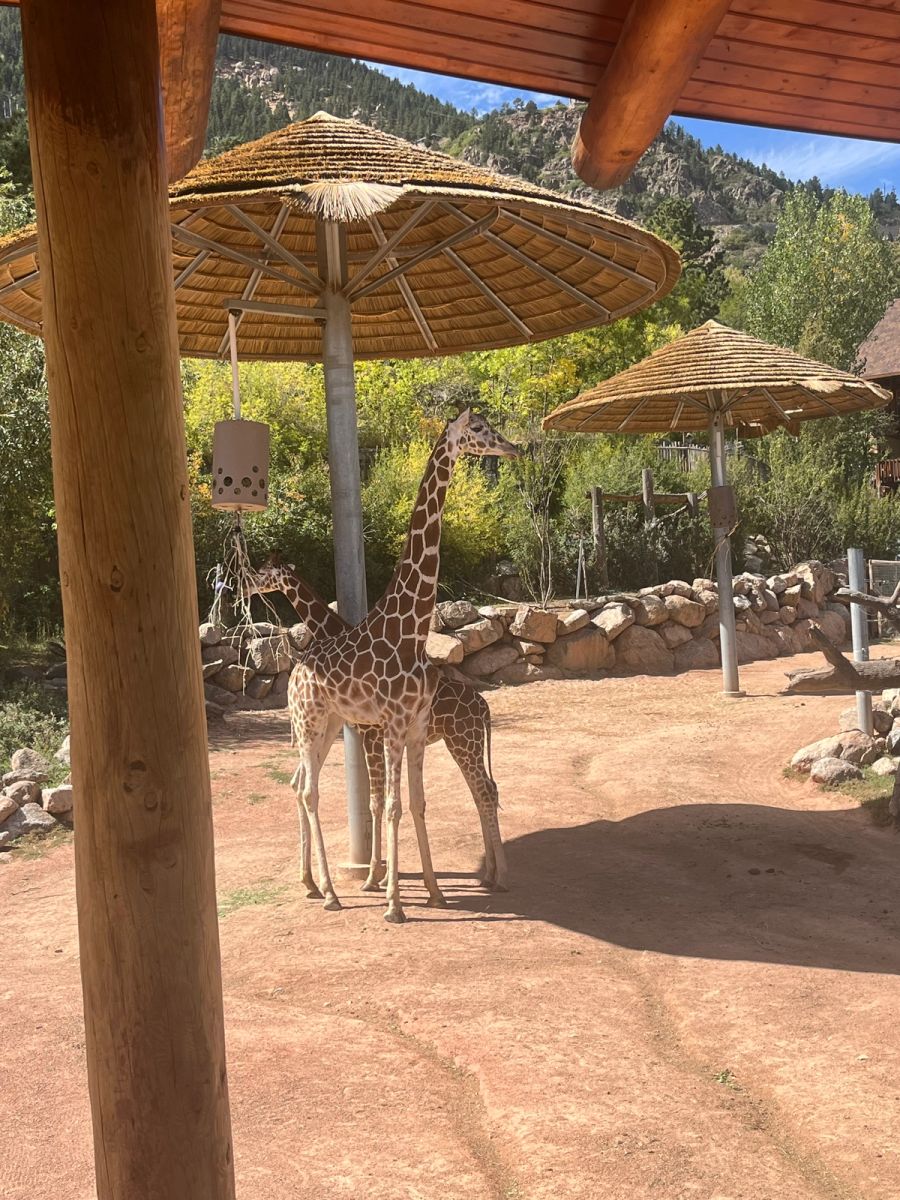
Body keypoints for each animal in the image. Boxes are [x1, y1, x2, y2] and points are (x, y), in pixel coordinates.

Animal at [245, 558, 508, 893]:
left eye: (263, 572)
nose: (245, 585)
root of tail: (484, 707)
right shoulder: (370, 733)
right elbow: (379, 799)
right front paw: (383, 877)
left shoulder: (370, 734)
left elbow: (376, 802)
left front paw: (375, 877)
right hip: (458, 742)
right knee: (483, 792)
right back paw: (489, 873)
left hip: (464, 741)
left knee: (485, 791)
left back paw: (498, 876)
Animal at [288, 408, 519, 922]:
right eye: (478, 430)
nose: (513, 448)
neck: (410, 631)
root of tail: (293, 673)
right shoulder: (390, 726)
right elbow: (390, 805)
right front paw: (393, 901)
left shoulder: (413, 728)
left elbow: (415, 803)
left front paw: (433, 893)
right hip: (309, 723)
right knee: (308, 792)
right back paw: (328, 893)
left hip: (330, 725)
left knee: (307, 787)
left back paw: (320, 887)